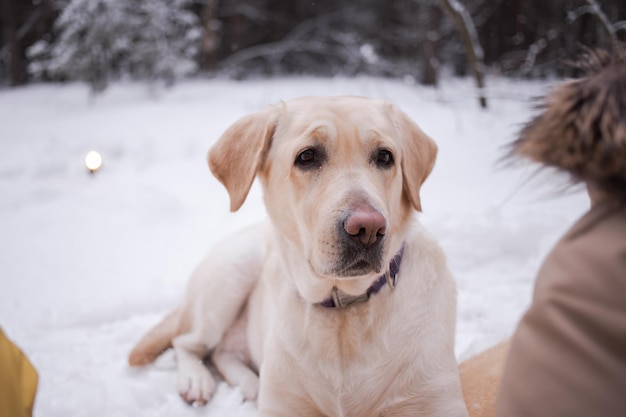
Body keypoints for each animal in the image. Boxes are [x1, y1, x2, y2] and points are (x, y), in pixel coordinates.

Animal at [128, 96, 468, 416]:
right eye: (307, 156)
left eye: (385, 157)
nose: (368, 228)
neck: (344, 311)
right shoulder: (283, 406)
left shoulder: (438, 399)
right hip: (229, 278)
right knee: (187, 343)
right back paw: (197, 380)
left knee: (223, 352)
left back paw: (250, 385)